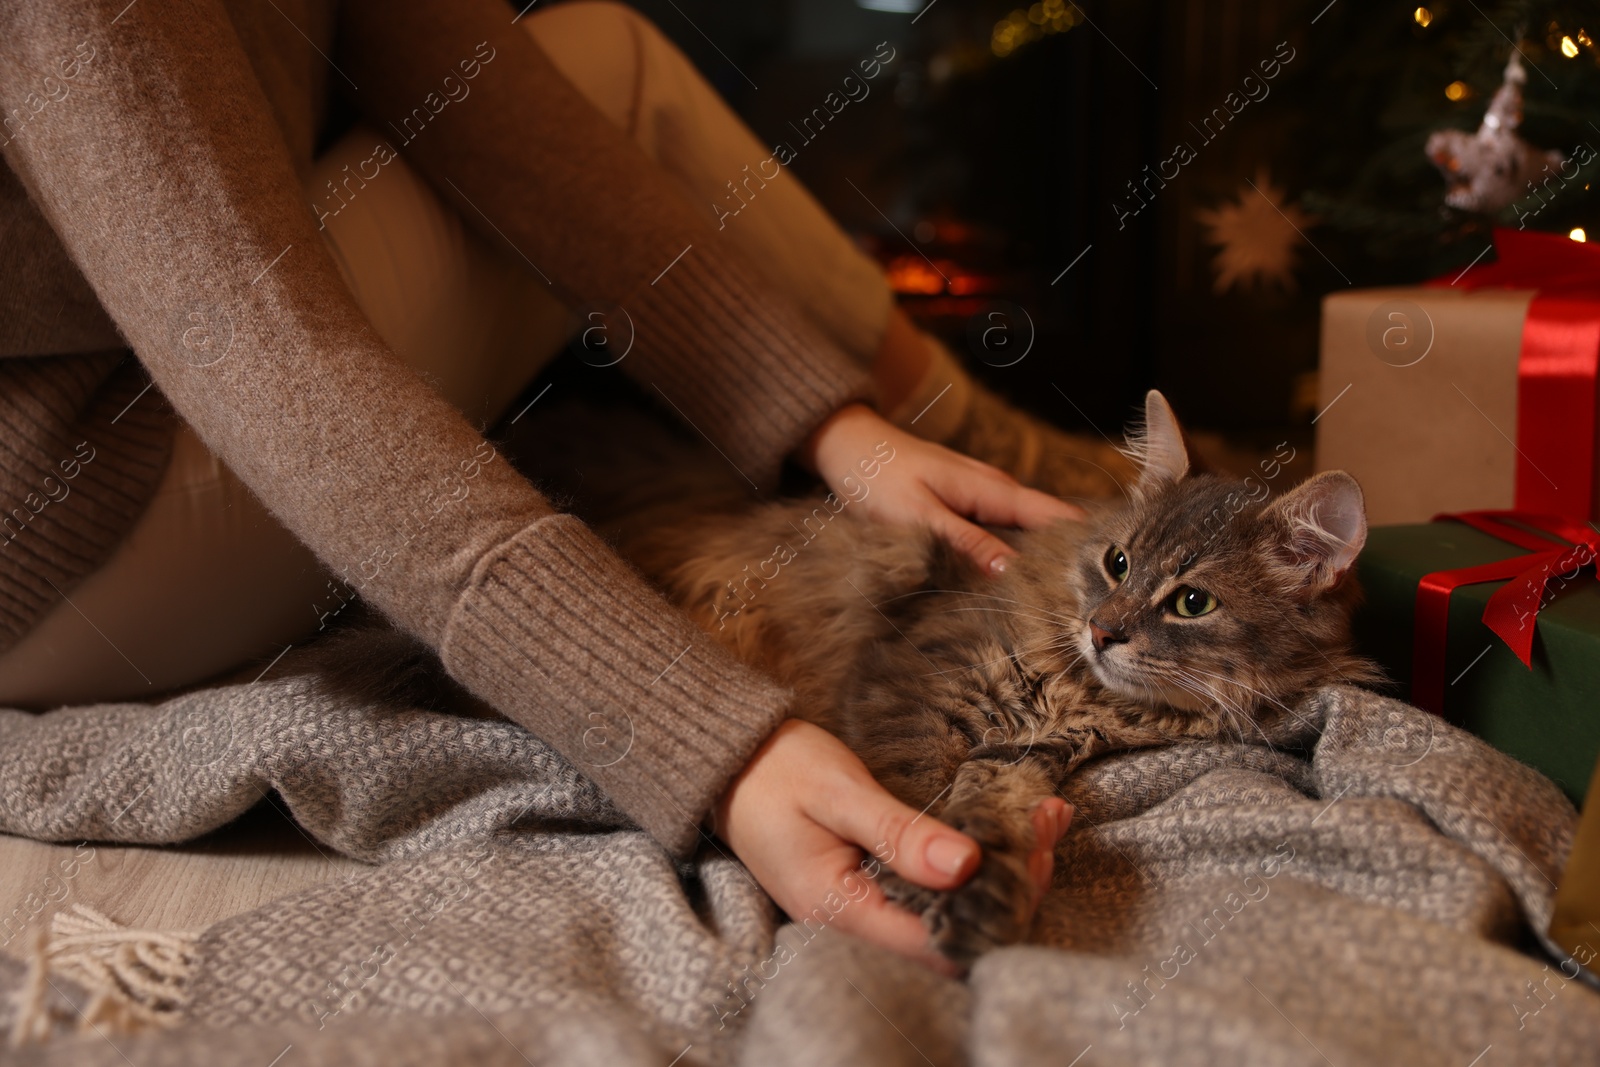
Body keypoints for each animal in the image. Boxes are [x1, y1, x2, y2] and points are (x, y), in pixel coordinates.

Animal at [617, 391, 1382, 966]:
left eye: (1193, 602)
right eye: (1118, 563)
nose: (1103, 630)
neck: (1082, 692)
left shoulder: (1024, 749)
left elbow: (992, 805)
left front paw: (983, 893)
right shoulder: (918, 683)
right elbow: (917, 792)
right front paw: (925, 873)